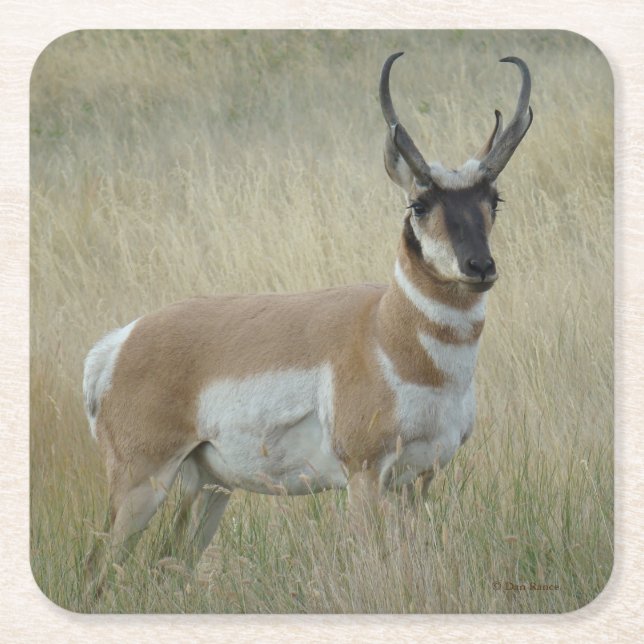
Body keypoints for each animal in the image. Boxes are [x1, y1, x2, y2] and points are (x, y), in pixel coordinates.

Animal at [83, 52, 532, 584]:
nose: (479, 267)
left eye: (494, 200)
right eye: (419, 203)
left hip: (208, 486)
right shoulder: (364, 474)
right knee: (96, 567)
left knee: (169, 561)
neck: (385, 331)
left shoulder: (419, 478)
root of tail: (120, 341)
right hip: (141, 482)